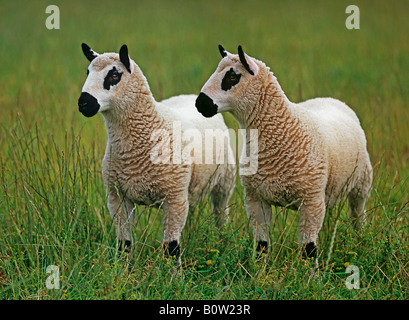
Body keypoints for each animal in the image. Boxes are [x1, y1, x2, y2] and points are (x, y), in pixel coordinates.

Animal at [77, 43, 234, 258]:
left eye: (114, 75)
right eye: (87, 72)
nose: (84, 103)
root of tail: (190, 96)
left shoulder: (174, 197)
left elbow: (171, 248)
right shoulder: (117, 196)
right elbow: (124, 244)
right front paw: (122, 268)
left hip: (224, 182)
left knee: (220, 215)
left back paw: (223, 242)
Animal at [196, 45, 372, 262]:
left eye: (232, 76)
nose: (199, 103)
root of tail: (330, 99)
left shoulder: (311, 201)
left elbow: (308, 249)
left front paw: (308, 272)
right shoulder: (255, 199)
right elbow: (261, 245)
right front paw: (260, 270)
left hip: (361, 183)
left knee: (358, 215)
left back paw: (361, 240)